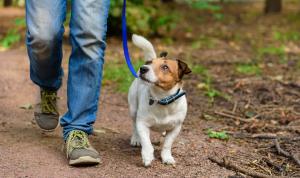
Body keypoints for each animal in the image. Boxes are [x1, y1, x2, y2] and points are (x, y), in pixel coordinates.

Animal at [127, 34, 191, 166]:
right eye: (150, 63)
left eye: (165, 67)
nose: (143, 68)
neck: (161, 99)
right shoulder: (142, 124)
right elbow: (146, 143)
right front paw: (147, 156)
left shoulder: (176, 128)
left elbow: (167, 144)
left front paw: (167, 157)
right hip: (133, 109)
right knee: (134, 125)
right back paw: (136, 139)